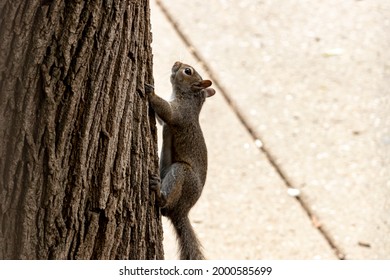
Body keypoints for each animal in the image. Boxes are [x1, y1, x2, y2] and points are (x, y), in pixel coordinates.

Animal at [145, 61, 215, 260]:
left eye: (187, 71)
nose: (176, 63)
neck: (190, 98)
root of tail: (183, 212)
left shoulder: (180, 114)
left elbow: (167, 112)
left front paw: (151, 93)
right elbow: (162, 120)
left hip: (182, 173)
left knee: (166, 204)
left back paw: (159, 194)